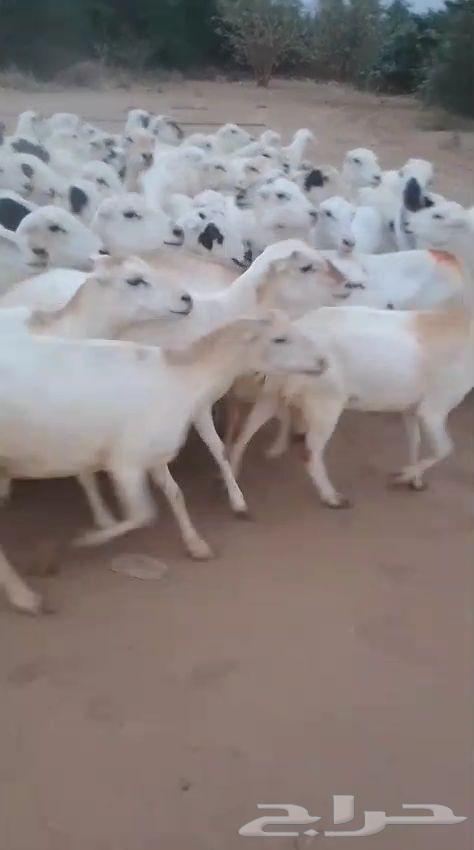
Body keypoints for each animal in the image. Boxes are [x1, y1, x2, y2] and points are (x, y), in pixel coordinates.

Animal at [230, 307, 474, 507]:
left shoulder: (410, 410)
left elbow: (415, 442)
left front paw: (415, 481)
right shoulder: (433, 409)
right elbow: (445, 448)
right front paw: (401, 477)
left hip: (271, 394)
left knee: (243, 434)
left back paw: (235, 476)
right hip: (327, 406)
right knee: (310, 454)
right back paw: (332, 498)